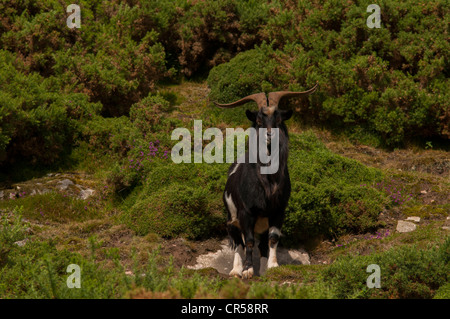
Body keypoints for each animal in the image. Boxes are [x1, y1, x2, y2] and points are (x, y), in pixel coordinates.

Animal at [214, 84, 316, 278]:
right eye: (259, 121)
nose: (270, 135)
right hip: (232, 218)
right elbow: (248, 242)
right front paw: (247, 270)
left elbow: (273, 238)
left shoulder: (278, 210)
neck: (267, 182)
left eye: (279, 119)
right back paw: (236, 270)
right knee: (238, 242)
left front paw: (273, 266)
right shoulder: (246, 213)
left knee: (261, 243)